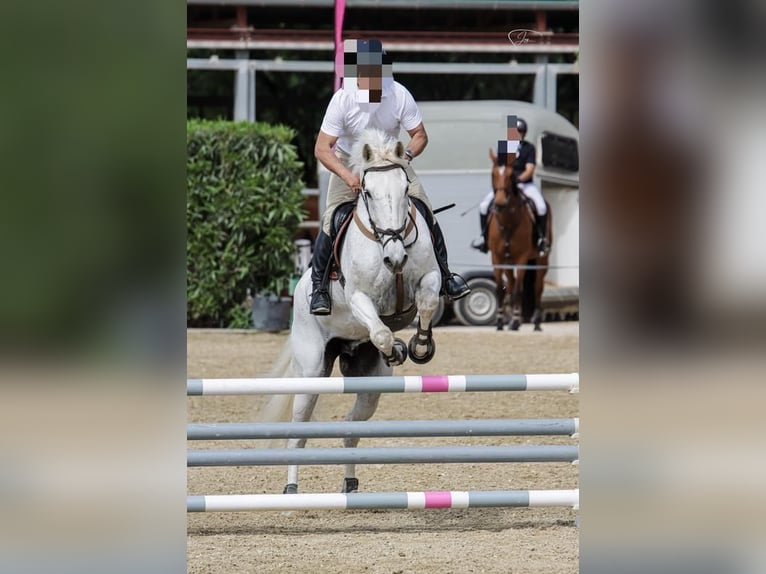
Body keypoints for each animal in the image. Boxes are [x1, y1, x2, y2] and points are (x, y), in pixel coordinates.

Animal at [268, 129, 440, 496]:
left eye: (405, 190)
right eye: (368, 193)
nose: (395, 258)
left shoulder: (430, 278)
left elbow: (428, 303)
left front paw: (419, 346)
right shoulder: (360, 297)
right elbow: (380, 330)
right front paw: (395, 349)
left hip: (370, 387)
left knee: (350, 426)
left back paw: (349, 482)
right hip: (311, 372)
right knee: (298, 432)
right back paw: (291, 488)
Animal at [488, 148, 556, 332]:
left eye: (511, 175)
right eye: (493, 174)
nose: (500, 203)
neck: (508, 221)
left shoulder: (521, 259)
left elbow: (519, 290)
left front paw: (515, 321)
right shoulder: (497, 259)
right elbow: (501, 290)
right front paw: (499, 322)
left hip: (541, 259)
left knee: (537, 287)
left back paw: (536, 322)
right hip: (509, 262)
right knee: (511, 286)